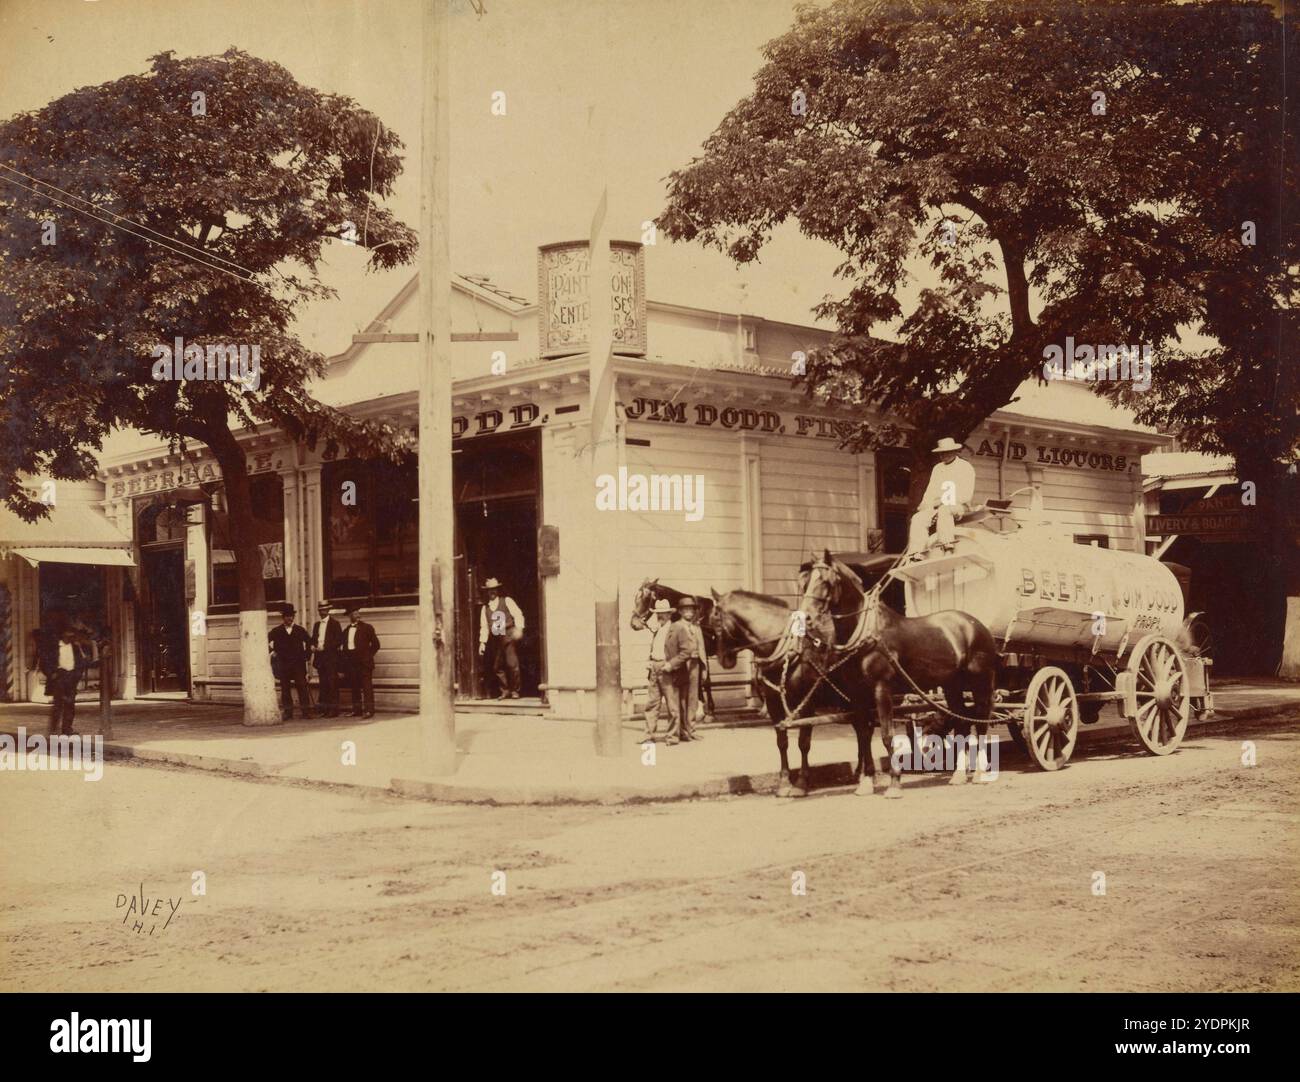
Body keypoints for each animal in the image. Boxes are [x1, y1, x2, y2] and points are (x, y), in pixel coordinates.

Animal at [707, 587, 878, 801]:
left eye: (714, 619)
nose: (723, 659)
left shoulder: (807, 703)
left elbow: (803, 743)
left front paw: (802, 782)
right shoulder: (773, 704)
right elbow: (782, 742)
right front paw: (784, 782)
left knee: (866, 731)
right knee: (862, 732)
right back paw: (860, 772)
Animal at [795, 548, 998, 795]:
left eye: (825, 581)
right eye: (804, 583)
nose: (805, 617)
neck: (868, 632)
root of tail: (975, 625)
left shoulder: (882, 689)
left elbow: (886, 735)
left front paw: (894, 783)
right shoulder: (857, 694)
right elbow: (863, 736)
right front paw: (865, 782)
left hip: (980, 681)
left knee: (980, 721)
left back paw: (979, 774)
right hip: (952, 685)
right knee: (961, 721)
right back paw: (958, 775)